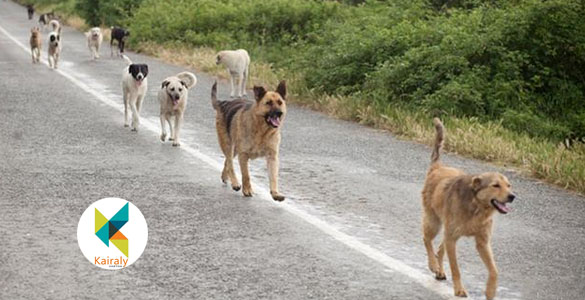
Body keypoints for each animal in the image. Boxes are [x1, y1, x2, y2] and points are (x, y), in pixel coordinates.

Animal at [420, 118, 516, 298]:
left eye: (508, 185)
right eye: (495, 185)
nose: (512, 196)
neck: (477, 207)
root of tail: (437, 167)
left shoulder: (483, 242)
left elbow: (494, 270)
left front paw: (491, 290)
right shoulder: (452, 239)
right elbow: (456, 268)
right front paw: (459, 289)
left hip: (447, 230)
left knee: (440, 248)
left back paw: (439, 270)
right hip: (434, 222)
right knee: (427, 240)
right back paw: (433, 265)